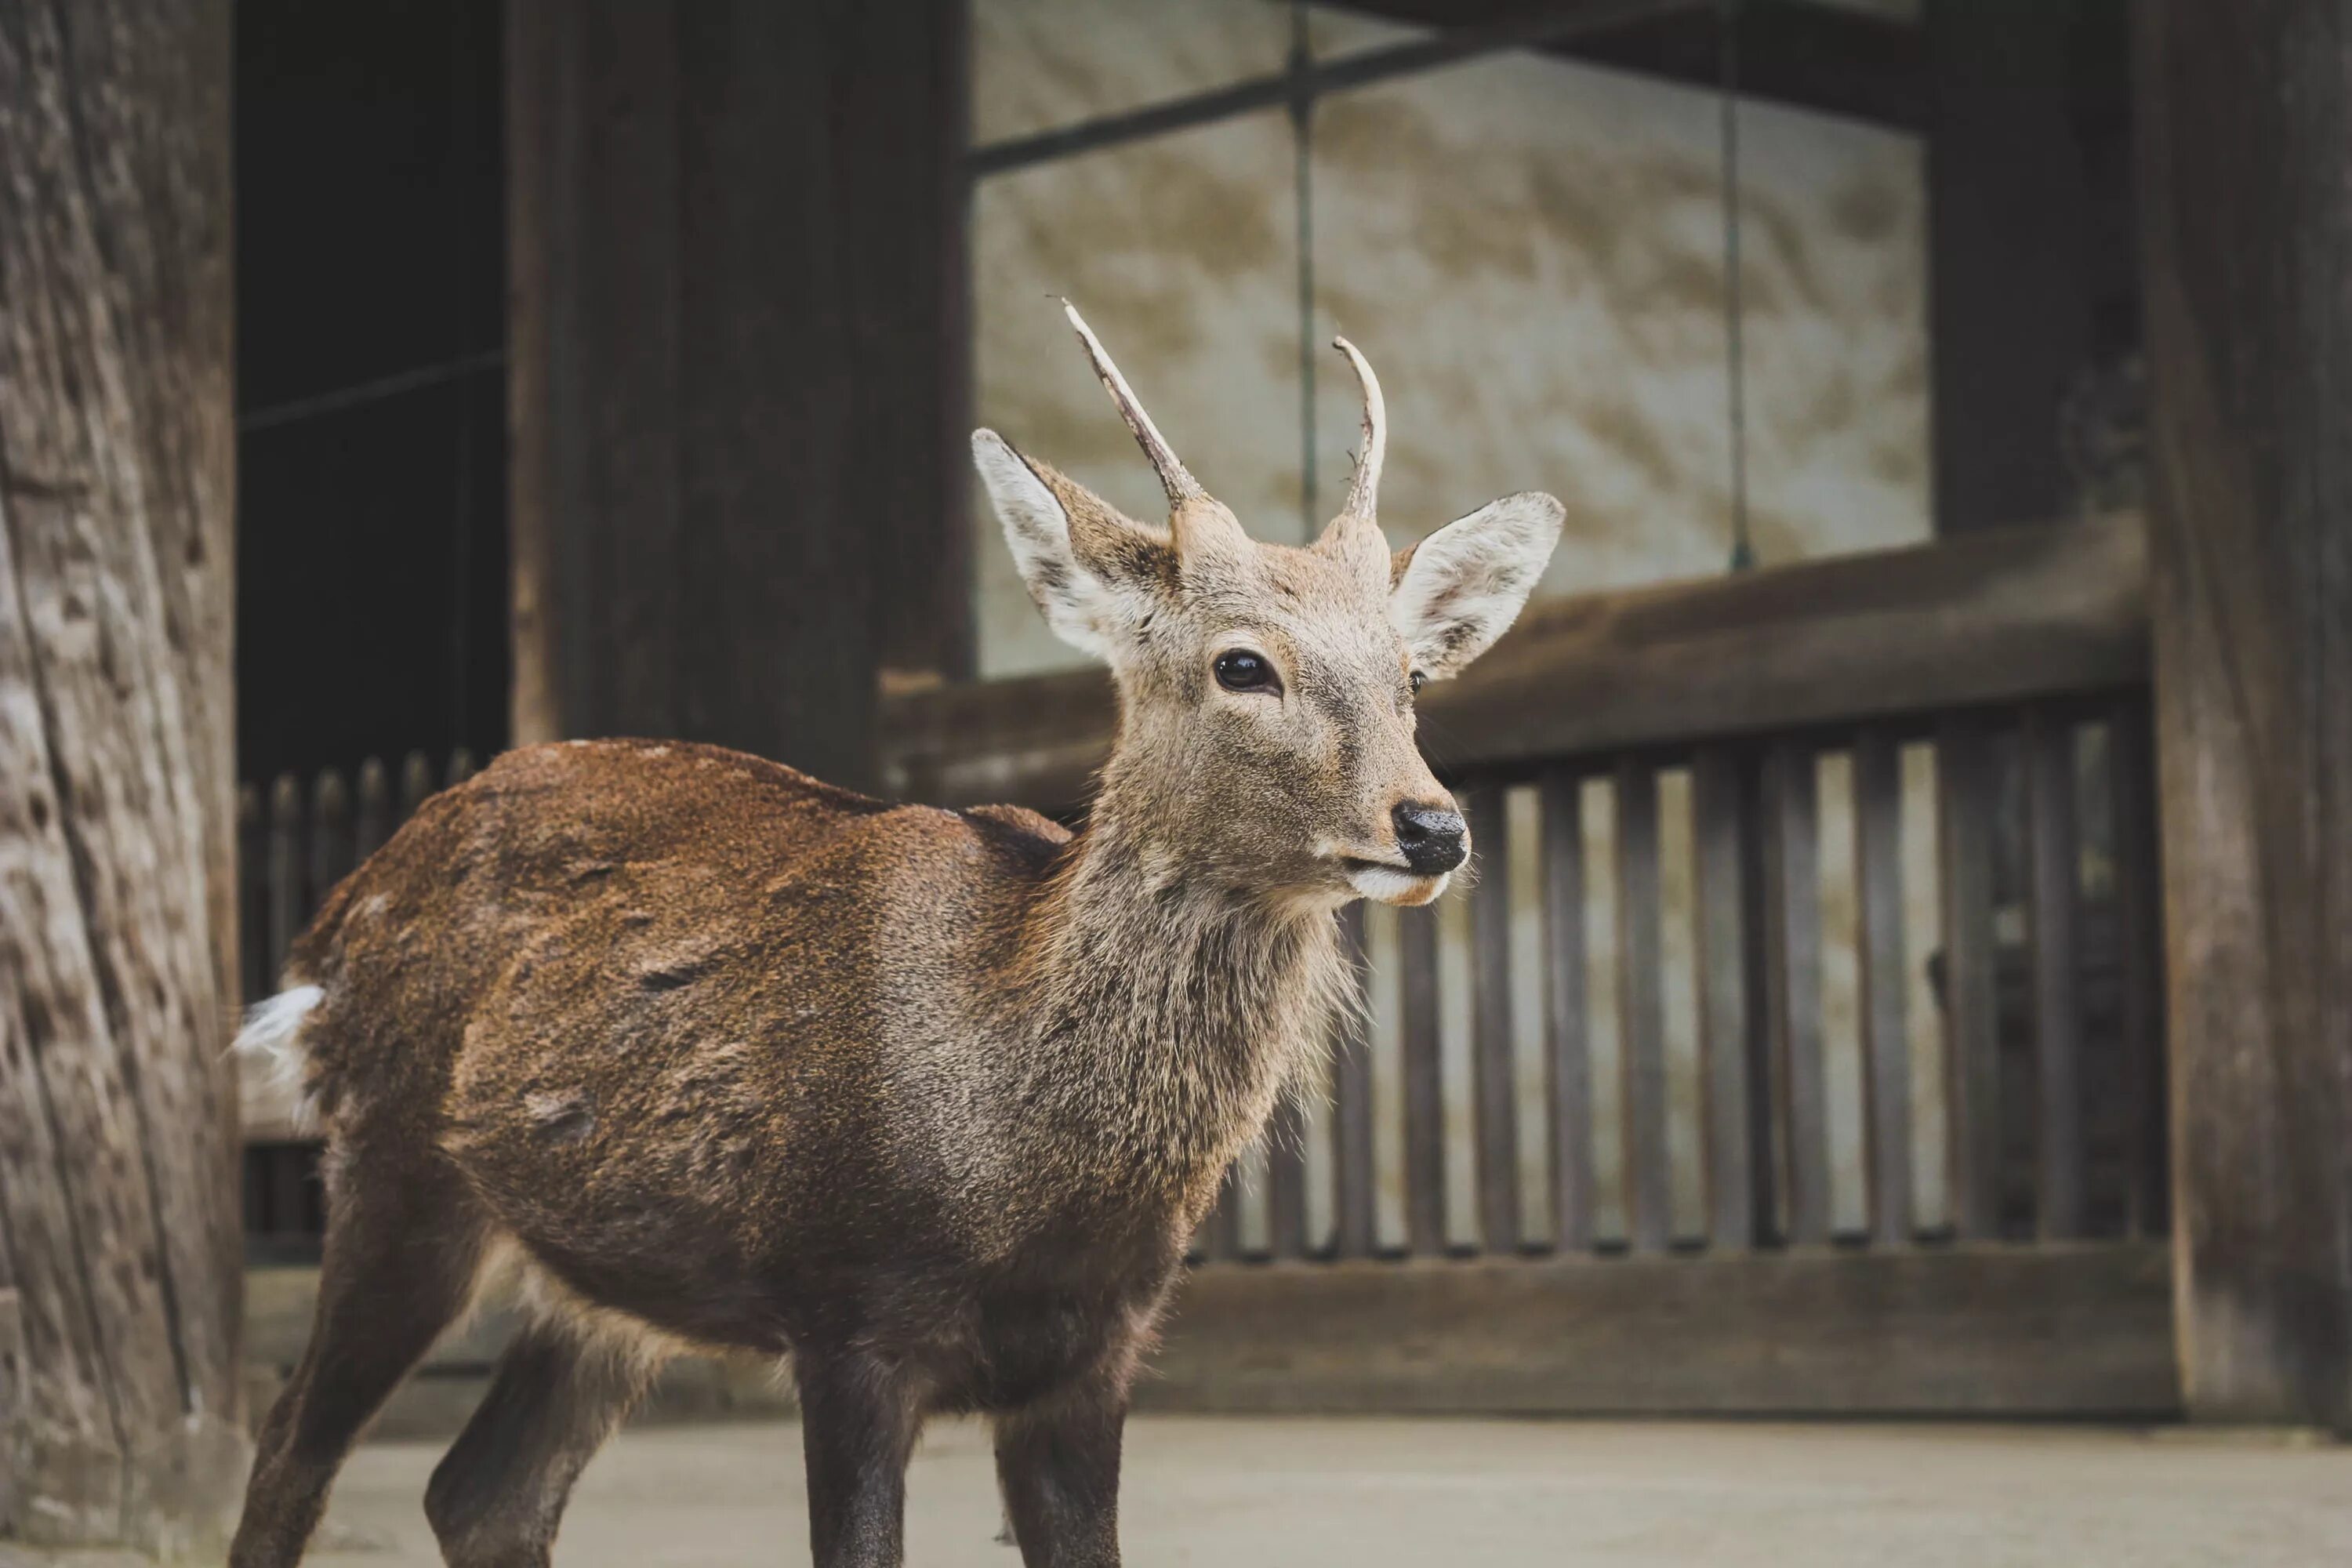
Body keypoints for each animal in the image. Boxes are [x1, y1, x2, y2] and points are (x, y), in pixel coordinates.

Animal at [229, 305, 1562, 1568]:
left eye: (1412, 679)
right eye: (1242, 665)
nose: (1432, 826)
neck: (1020, 1166)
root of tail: (332, 928)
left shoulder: (1097, 1353)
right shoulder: (847, 1312)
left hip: (600, 1277)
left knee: (481, 1493)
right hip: (396, 1165)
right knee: (291, 1444)